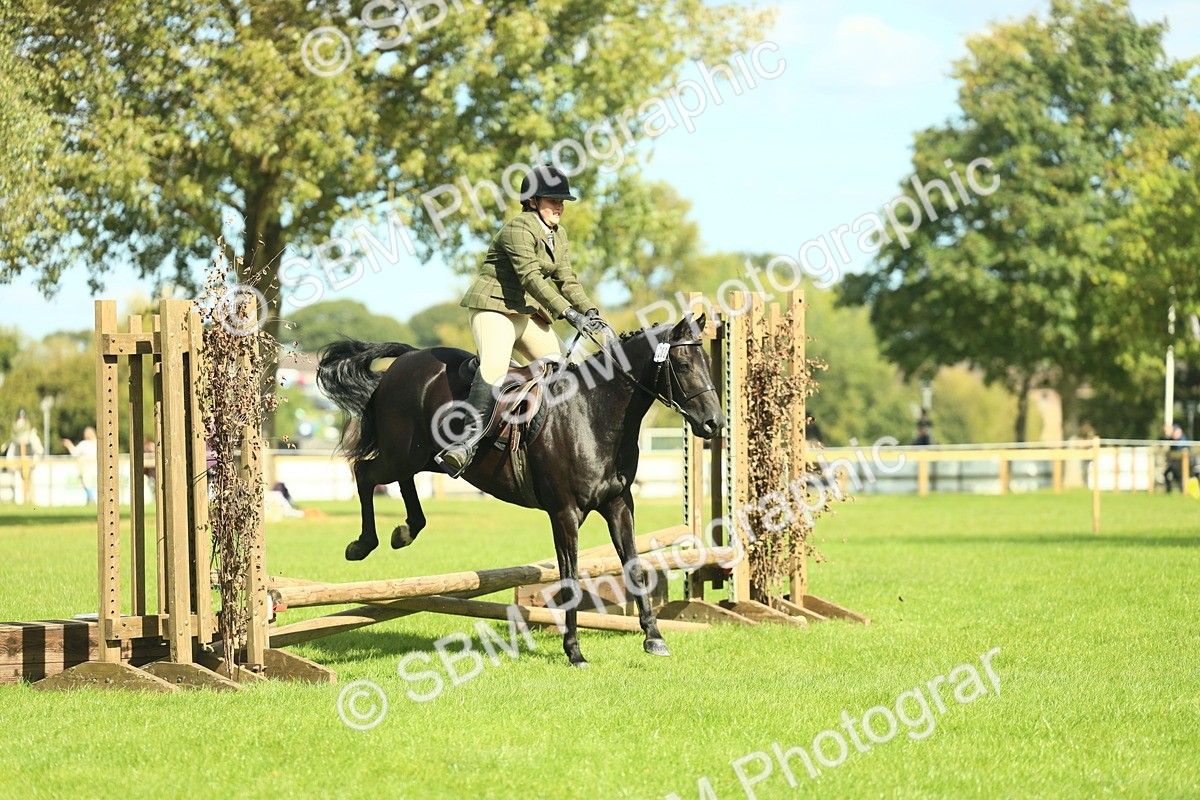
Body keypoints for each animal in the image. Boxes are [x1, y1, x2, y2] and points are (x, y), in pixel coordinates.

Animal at [315, 315, 725, 667]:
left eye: (708, 360)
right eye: (683, 364)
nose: (714, 423)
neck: (593, 414)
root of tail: (407, 359)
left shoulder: (619, 504)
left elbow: (635, 568)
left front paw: (654, 638)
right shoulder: (565, 513)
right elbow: (571, 581)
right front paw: (574, 652)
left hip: (421, 456)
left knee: (402, 481)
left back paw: (405, 531)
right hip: (401, 452)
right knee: (365, 473)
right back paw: (362, 544)